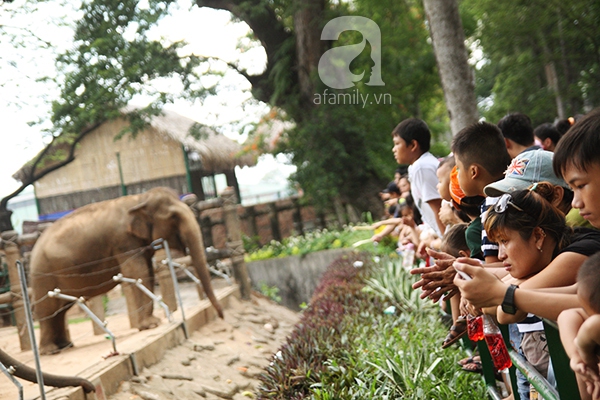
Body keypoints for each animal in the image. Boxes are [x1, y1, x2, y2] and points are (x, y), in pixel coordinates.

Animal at [30, 186, 224, 354]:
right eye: (174, 217)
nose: (221, 317)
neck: (139, 200)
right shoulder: (123, 241)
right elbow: (139, 273)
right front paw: (151, 325)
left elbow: (148, 272)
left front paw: (152, 323)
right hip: (43, 274)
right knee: (48, 310)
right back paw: (51, 350)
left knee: (60, 310)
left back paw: (65, 345)